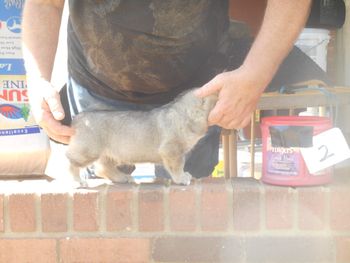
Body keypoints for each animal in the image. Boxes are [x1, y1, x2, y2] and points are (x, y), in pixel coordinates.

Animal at [65, 88, 217, 186]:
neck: (187, 114)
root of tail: (77, 119)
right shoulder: (172, 151)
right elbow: (178, 167)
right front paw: (182, 178)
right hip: (88, 151)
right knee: (72, 163)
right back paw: (79, 181)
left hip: (108, 154)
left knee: (104, 168)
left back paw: (122, 178)